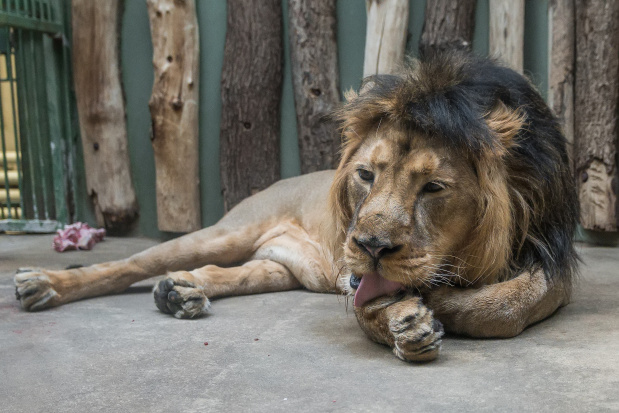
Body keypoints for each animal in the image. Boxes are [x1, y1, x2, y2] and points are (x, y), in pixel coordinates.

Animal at [14, 50, 580, 360]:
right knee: (127, 265)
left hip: (279, 268)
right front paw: (407, 319)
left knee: (221, 272)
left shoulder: (551, 256)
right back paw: (42, 285)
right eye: (366, 175)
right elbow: (370, 305)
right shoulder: (358, 280)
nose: (369, 247)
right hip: (228, 231)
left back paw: (181, 293)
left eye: (434, 188)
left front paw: (434, 307)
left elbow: (506, 305)